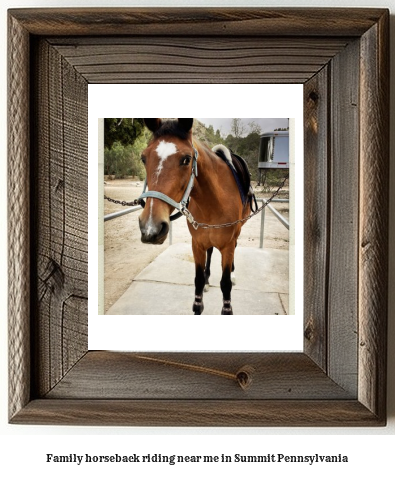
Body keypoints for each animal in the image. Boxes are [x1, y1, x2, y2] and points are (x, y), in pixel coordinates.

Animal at [139, 118, 255, 316]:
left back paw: (232, 273)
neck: (213, 200)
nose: (150, 228)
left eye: (186, 159)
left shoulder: (228, 245)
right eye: (144, 158)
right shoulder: (197, 243)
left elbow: (225, 285)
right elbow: (198, 282)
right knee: (210, 251)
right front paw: (204, 282)